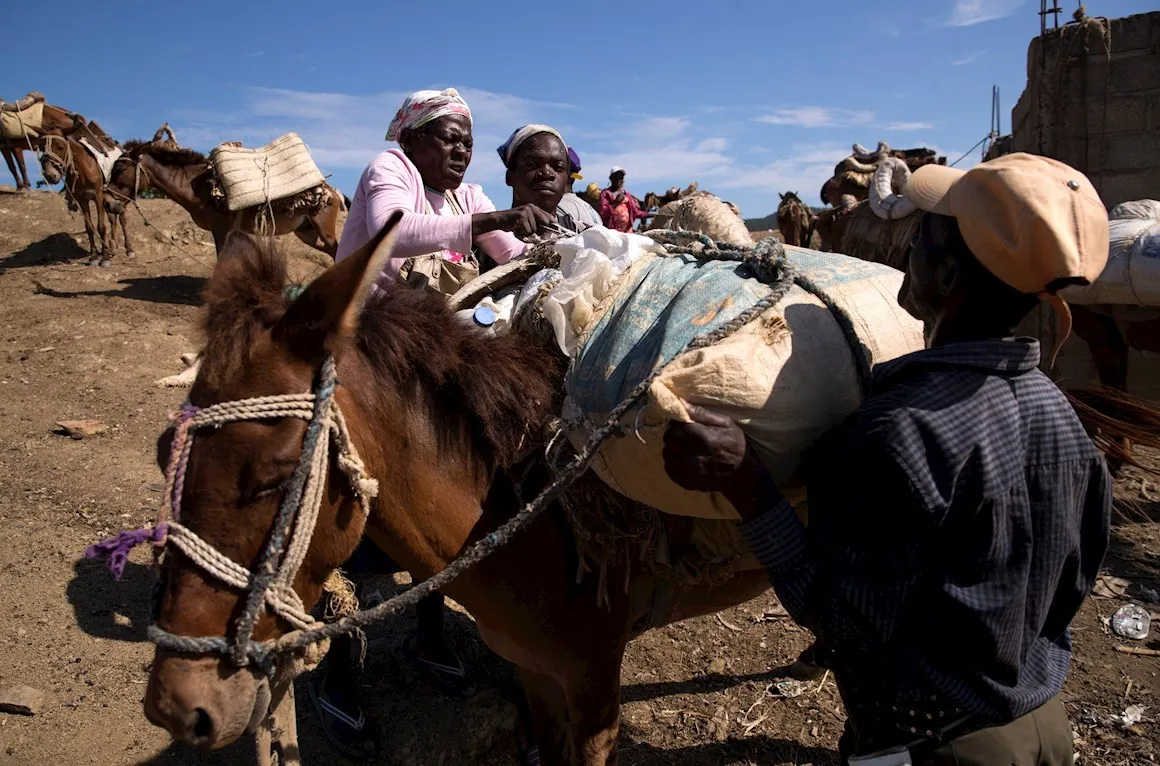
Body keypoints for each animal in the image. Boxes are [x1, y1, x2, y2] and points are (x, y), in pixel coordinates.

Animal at [110, 127, 341, 255]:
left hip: (323, 228)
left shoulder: (221, 228)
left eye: (120, 169)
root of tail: (331, 190)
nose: (108, 203)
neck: (200, 188)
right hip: (306, 232)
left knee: (336, 250)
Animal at [142, 218, 770, 761]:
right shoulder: (535, 671)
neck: (531, 511)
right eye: (163, 453)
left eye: (274, 476)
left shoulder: (594, 689)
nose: (179, 707)